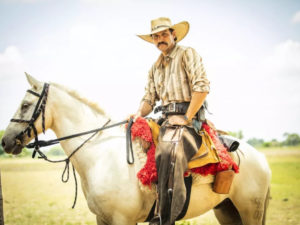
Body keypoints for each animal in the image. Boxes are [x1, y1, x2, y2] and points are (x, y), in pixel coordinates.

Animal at [0, 74, 272, 225]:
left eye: (25, 105)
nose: (5, 142)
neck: (101, 156)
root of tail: (260, 158)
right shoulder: (103, 219)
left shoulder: (123, 220)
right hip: (227, 211)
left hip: (251, 210)